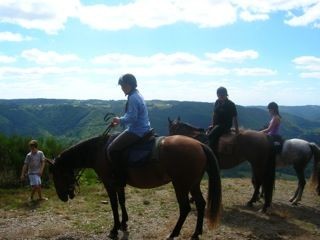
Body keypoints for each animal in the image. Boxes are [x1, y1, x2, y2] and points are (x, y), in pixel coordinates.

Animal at [49, 135, 222, 240]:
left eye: (56, 175)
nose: (62, 197)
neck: (99, 151)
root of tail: (200, 144)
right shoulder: (118, 184)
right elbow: (122, 201)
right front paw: (124, 223)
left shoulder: (109, 183)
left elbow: (114, 205)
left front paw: (114, 229)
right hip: (193, 184)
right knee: (200, 204)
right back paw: (196, 233)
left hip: (181, 185)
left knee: (185, 208)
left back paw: (173, 233)